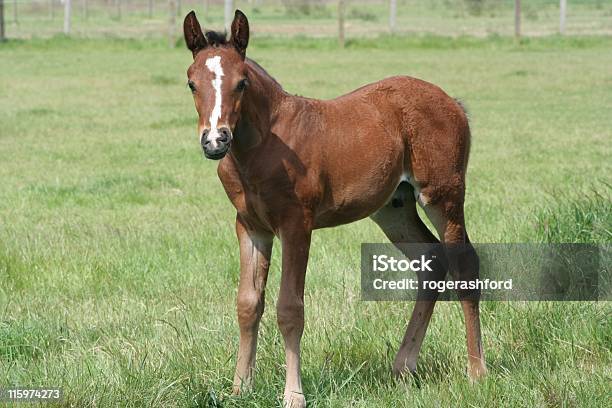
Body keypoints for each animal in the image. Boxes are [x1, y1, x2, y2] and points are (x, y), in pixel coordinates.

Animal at [182, 9, 488, 408]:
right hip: (393, 207)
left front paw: (293, 395)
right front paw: (240, 387)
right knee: (430, 259)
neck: (261, 146)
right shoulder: (250, 226)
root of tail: (452, 102)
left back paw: (476, 371)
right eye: (191, 83)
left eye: (242, 82)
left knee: (464, 263)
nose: (215, 140)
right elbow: (248, 304)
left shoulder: (296, 225)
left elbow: (290, 309)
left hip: (443, 195)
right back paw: (403, 365)